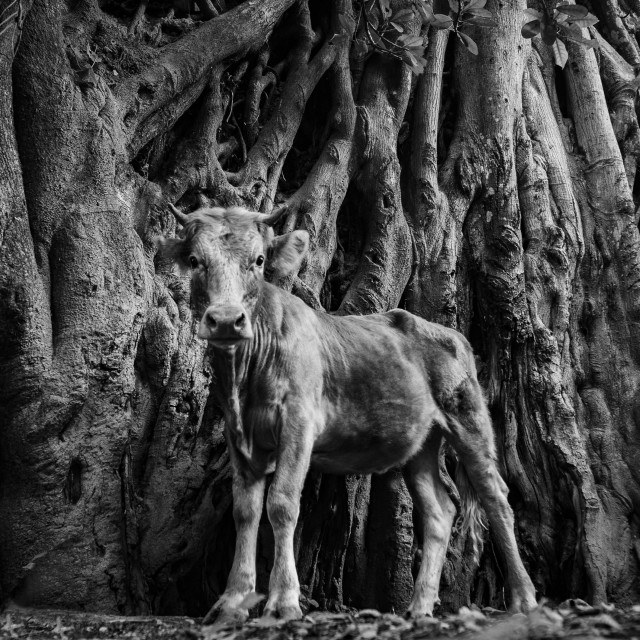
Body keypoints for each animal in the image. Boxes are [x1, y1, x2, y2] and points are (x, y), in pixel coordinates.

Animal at [159, 206, 536, 624]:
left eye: (258, 261)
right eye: (195, 261)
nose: (227, 319)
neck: (246, 375)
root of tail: (450, 333)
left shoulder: (299, 422)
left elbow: (282, 503)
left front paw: (284, 601)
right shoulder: (238, 434)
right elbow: (245, 510)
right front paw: (232, 601)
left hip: (467, 415)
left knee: (496, 498)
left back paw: (523, 599)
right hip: (421, 444)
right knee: (440, 510)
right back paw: (420, 607)